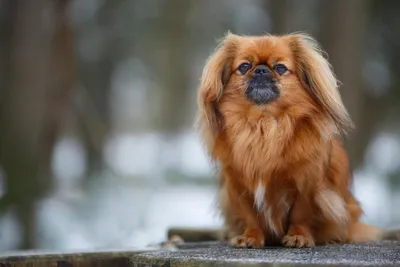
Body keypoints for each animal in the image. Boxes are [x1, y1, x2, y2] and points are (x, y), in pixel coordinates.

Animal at [197, 33, 390, 249]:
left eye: (280, 68)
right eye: (244, 66)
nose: (261, 69)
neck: (265, 123)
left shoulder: (307, 183)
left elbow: (301, 215)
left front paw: (299, 236)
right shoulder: (238, 186)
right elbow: (250, 216)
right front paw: (250, 237)